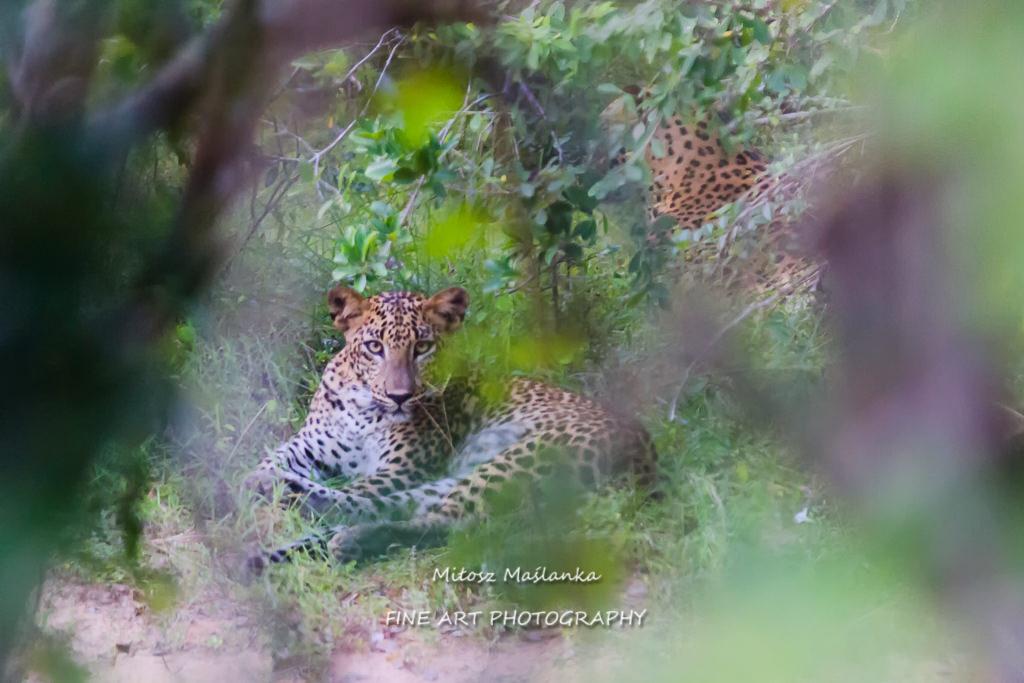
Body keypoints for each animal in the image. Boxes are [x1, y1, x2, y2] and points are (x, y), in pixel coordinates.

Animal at [245, 285, 657, 568]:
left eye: (423, 347)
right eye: (375, 347)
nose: (399, 396)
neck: (363, 408)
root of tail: (646, 461)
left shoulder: (401, 469)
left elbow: (360, 488)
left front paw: (265, 488)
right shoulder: (311, 444)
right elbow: (272, 457)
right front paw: (253, 481)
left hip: (526, 457)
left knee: (443, 520)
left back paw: (332, 527)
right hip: (470, 476)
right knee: (409, 509)